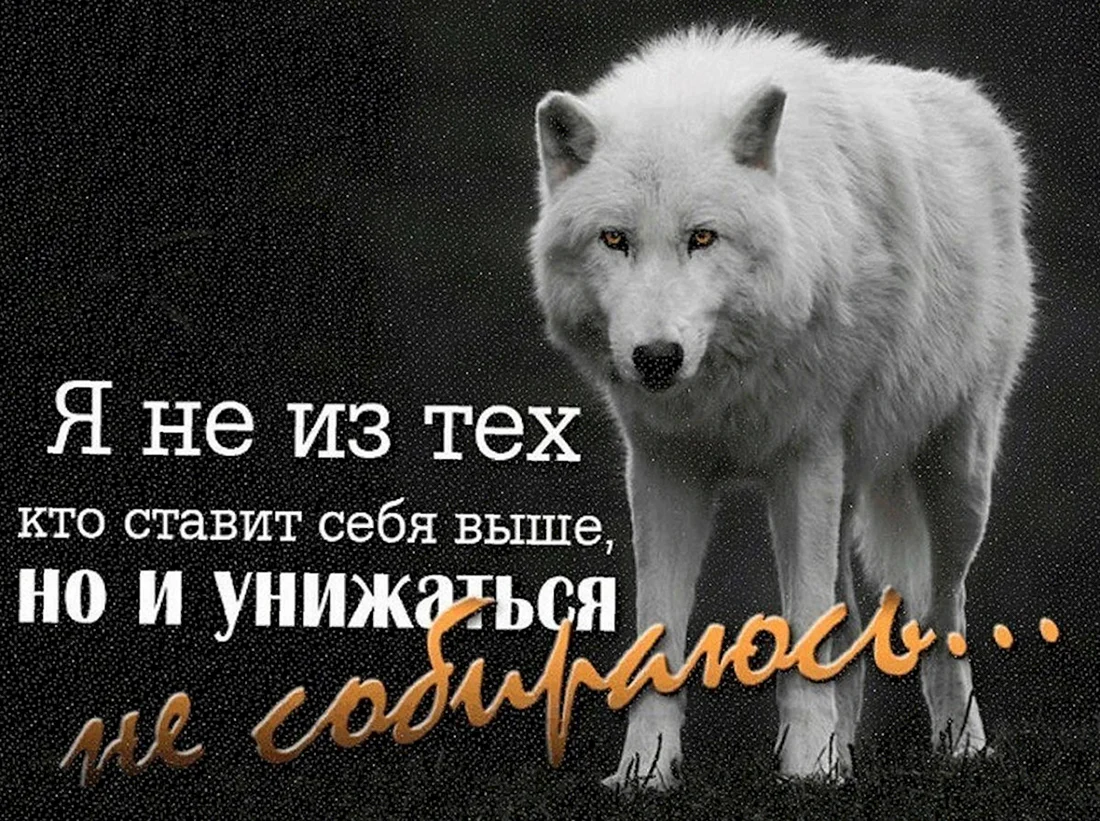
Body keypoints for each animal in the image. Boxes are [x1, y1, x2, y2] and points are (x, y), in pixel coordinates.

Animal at [529, 26, 1034, 787]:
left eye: (702, 237)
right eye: (614, 239)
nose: (656, 357)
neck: (723, 384)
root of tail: (977, 104)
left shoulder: (803, 461)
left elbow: (802, 636)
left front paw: (802, 773)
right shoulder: (663, 470)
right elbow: (661, 642)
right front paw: (646, 771)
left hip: (955, 481)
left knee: (943, 615)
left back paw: (959, 748)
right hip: (848, 487)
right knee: (849, 632)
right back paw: (842, 755)